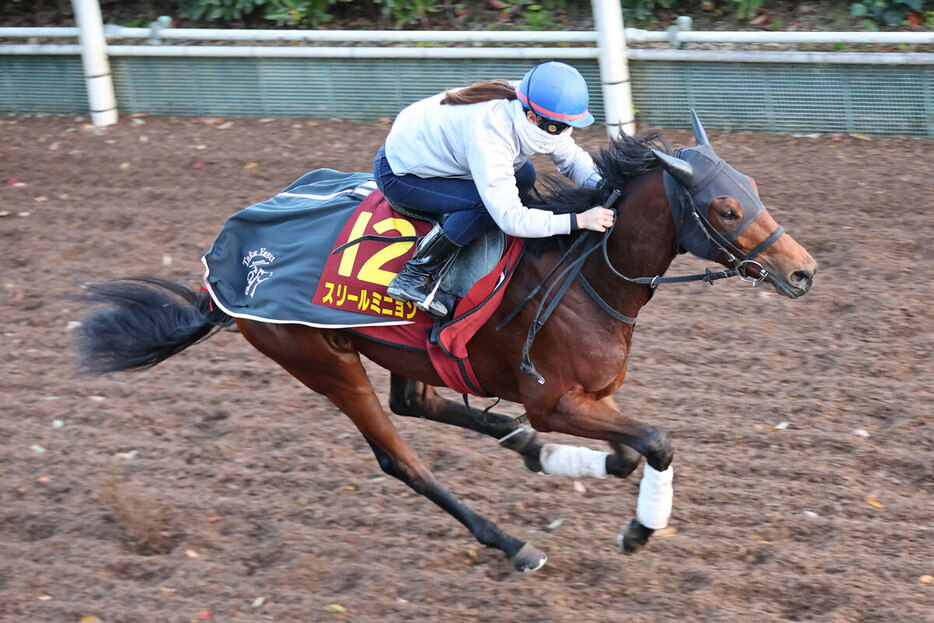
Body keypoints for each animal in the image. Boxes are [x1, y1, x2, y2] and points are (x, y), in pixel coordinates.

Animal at [73, 113, 820, 576]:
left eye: (753, 189)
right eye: (725, 208)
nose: (803, 272)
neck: (587, 271)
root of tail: (224, 263)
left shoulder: (593, 396)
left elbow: (631, 445)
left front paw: (588, 465)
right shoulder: (554, 399)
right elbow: (657, 441)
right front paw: (639, 528)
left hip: (403, 350)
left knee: (419, 403)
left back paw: (534, 454)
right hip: (321, 360)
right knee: (399, 456)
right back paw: (514, 543)